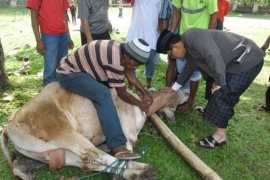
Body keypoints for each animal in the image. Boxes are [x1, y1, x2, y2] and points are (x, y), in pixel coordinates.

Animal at [0, 82, 186, 179]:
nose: (185, 93)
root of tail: (8, 127)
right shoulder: (127, 129)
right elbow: (128, 146)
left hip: (55, 153)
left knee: (88, 162)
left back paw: (133, 172)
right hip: (64, 132)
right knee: (94, 155)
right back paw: (144, 169)